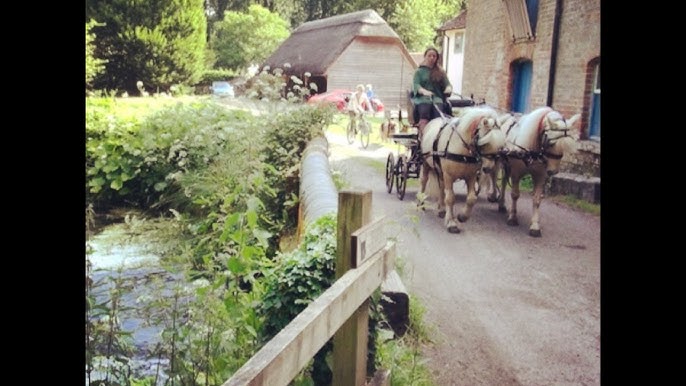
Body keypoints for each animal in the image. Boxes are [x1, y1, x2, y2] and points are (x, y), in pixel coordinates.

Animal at [416, 105, 508, 234]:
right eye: (484, 143)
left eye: (499, 146)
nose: (488, 168)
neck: (463, 150)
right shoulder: (449, 175)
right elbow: (450, 198)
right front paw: (451, 223)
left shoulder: (471, 176)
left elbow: (471, 198)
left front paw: (462, 216)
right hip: (426, 164)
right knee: (424, 181)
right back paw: (421, 203)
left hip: (441, 171)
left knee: (441, 187)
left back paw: (441, 209)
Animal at [486, 107, 584, 237]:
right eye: (551, 143)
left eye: (565, 146)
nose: (553, 171)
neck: (532, 150)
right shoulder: (516, 173)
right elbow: (515, 195)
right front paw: (513, 218)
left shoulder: (540, 176)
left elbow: (537, 200)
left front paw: (535, 226)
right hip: (497, 159)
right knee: (494, 175)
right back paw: (493, 196)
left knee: (503, 182)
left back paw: (501, 204)